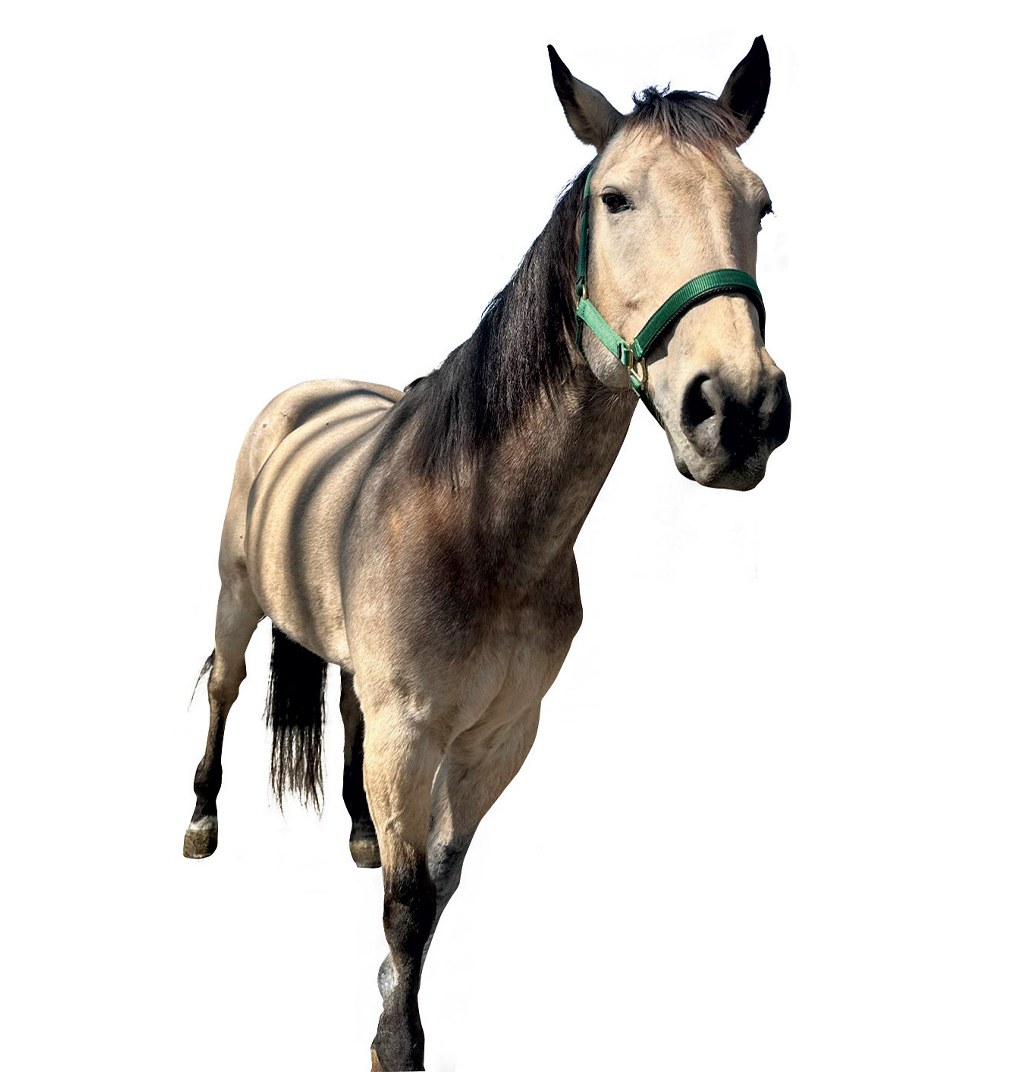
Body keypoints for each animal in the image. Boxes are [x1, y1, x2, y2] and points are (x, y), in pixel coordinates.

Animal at [183, 37, 790, 1071]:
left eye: (760, 203)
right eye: (615, 198)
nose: (739, 407)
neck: (479, 530)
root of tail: (299, 399)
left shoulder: (500, 736)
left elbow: (438, 883)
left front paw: (394, 993)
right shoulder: (411, 734)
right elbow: (406, 900)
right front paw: (396, 1043)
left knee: (344, 715)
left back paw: (354, 831)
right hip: (236, 603)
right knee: (222, 690)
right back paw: (201, 819)